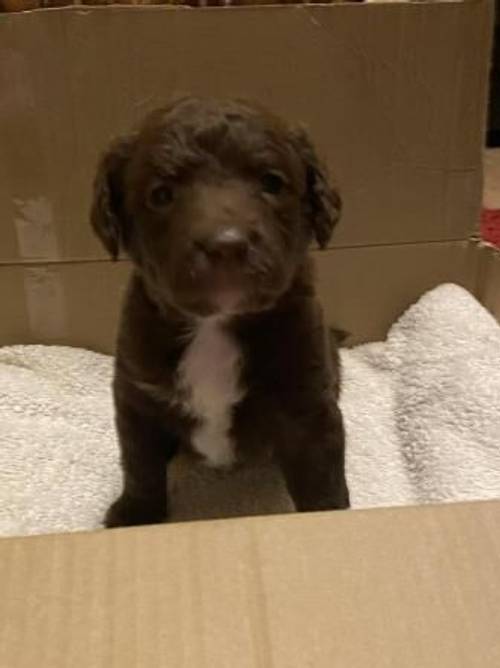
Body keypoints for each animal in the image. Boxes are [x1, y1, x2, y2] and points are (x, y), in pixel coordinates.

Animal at [92, 98, 350, 528]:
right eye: (161, 194)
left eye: (272, 183)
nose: (226, 245)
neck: (213, 325)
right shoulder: (136, 395)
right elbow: (140, 464)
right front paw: (134, 515)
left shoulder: (307, 405)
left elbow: (321, 476)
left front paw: (328, 517)